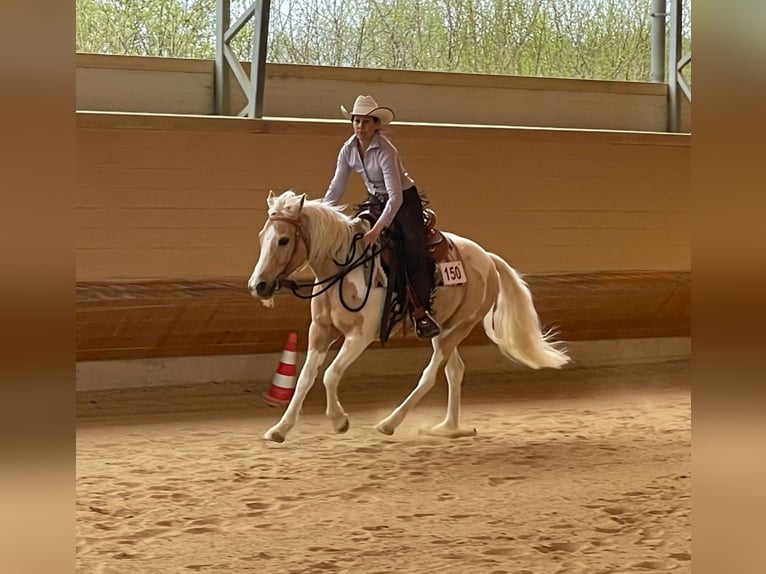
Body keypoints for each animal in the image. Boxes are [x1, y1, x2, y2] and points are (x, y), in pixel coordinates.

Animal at [248, 191, 568, 444]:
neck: (344, 270)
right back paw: (449, 428)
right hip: (443, 330)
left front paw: (339, 421)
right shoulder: (321, 331)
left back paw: (390, 423)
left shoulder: (359, 336)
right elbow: (305, 378)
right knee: (455, 370)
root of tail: (488, 259)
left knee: (431, 375)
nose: (258, 286)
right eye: (262, 237)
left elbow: (330, 374)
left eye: (284, 240)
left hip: (458, 328)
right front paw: (279, 429)